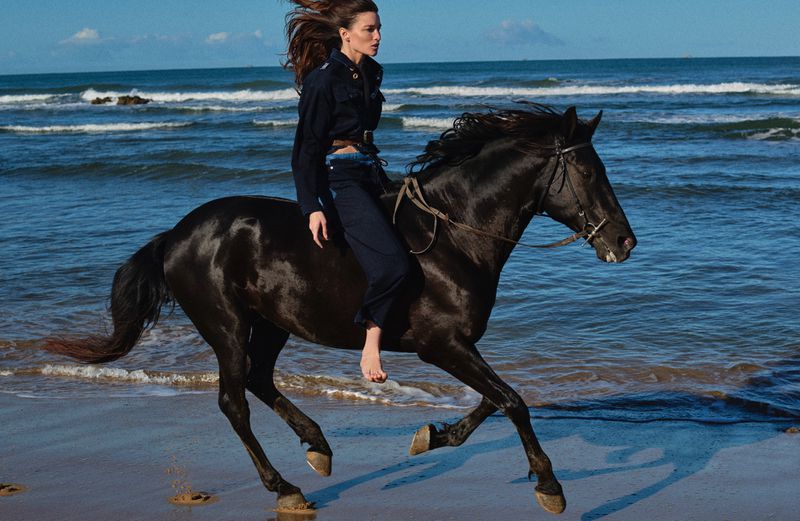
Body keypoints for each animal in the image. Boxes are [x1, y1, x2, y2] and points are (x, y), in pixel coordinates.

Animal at [44, 104, 636, 514]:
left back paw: (318, 446)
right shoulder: (440, 345)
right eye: (588, 172)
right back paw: (285, 488)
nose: (625, 243)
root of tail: (176, 236)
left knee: (259, 380)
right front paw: (550, 486)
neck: (452, 237)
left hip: (273, 324)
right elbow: (513, 401)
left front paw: (434, 436)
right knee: (234, 402)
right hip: (227, 326)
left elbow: (495, 400)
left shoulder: (456, 347)